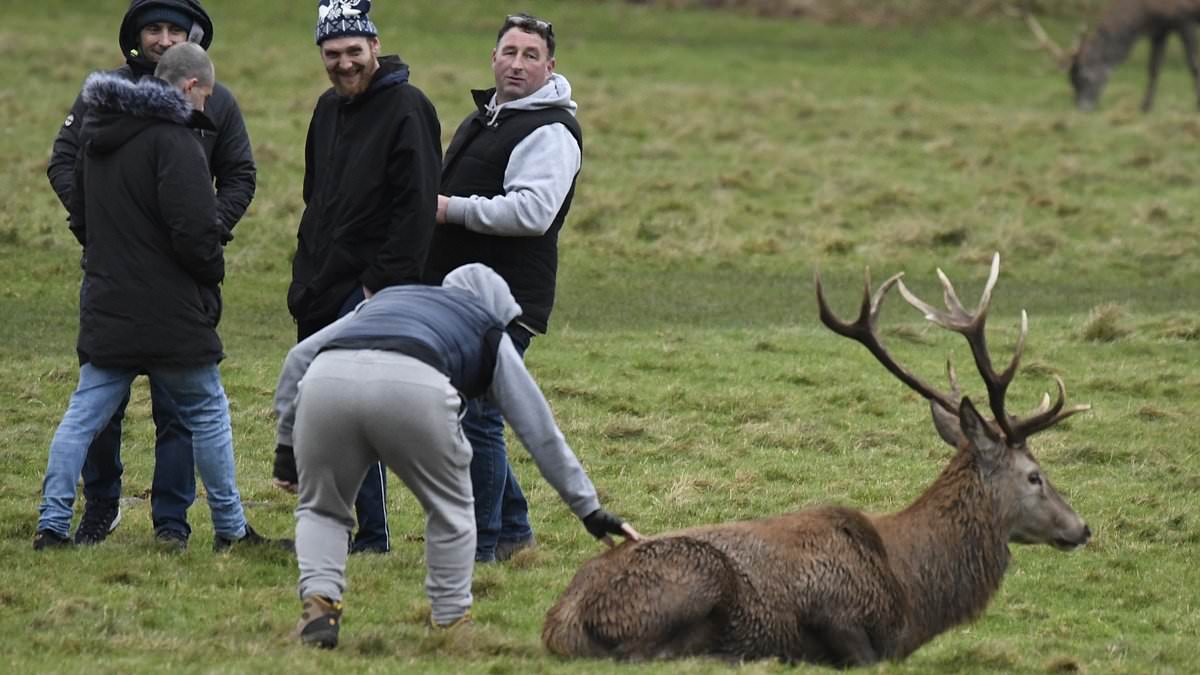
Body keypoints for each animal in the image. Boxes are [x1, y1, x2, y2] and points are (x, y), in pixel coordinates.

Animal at [544, 254, 1099, 662]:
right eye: (1035, 476)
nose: (1083, 527)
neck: (913, 590)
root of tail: (558, 622)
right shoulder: (837, 614)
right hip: (692, 578)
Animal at [1022, 1, 1200, 111]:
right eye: (1070, 82)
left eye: (1084, 76)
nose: (1081, 108)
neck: (1144, 13)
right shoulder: (1161, 27)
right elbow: (1153, 68)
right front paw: (1145, 107)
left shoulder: (1184, 17)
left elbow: (1193, 64)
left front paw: (1197, 106)